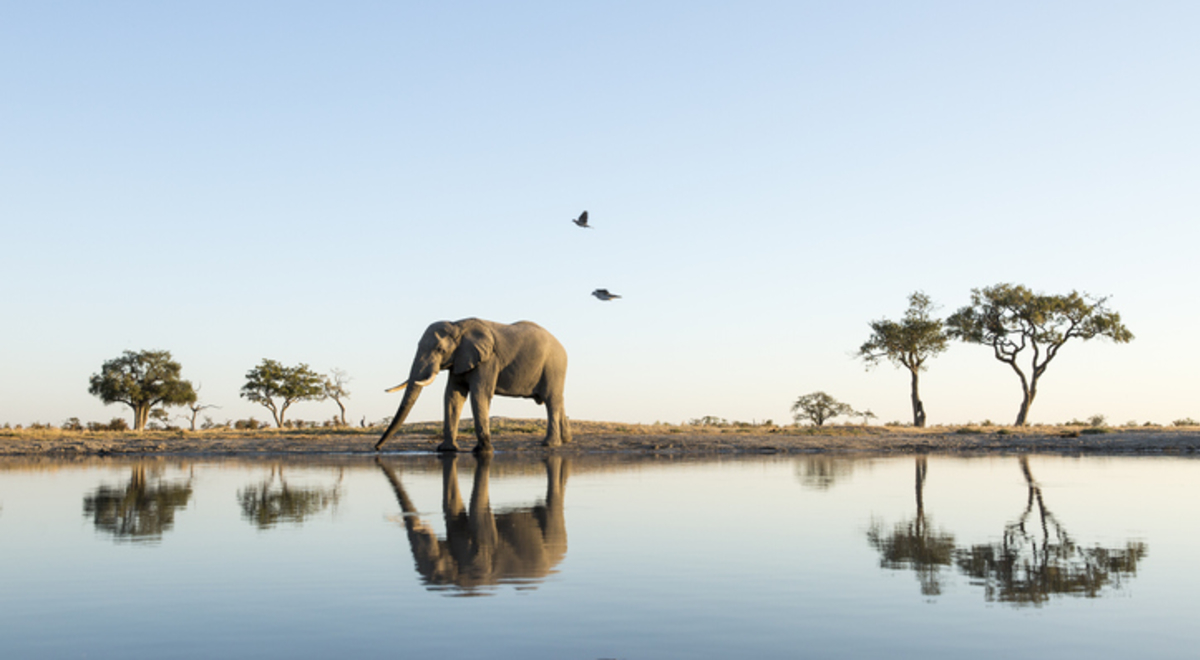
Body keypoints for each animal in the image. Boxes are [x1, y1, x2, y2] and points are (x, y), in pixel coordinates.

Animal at [374, 318, 571, 452]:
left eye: (440, 350)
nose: (377, 448)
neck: (457, 325)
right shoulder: (459, 360)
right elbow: (453, 396)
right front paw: (447, 450)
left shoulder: (488, 360)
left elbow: (479, 394)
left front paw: (483, 451)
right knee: (559, 400)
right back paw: (566, 440)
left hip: (554, 366)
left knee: (551, 400)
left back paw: (549, 444)